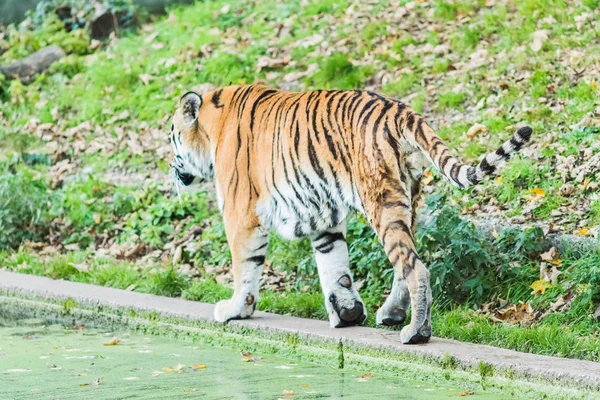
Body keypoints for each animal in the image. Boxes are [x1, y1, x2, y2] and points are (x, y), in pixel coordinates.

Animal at [168, 83, 528, 344]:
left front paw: (234, 310)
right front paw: (348, 314)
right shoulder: (322, 215)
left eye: (172, 138)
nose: (171, 168)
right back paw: (393, 314)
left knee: (416, 269)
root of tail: (401, 110)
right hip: (407, 200)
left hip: (379, 200)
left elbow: (245, 265)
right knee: (405, 261)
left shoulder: (240, 211)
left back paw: (416, 332)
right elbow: (334, 264)